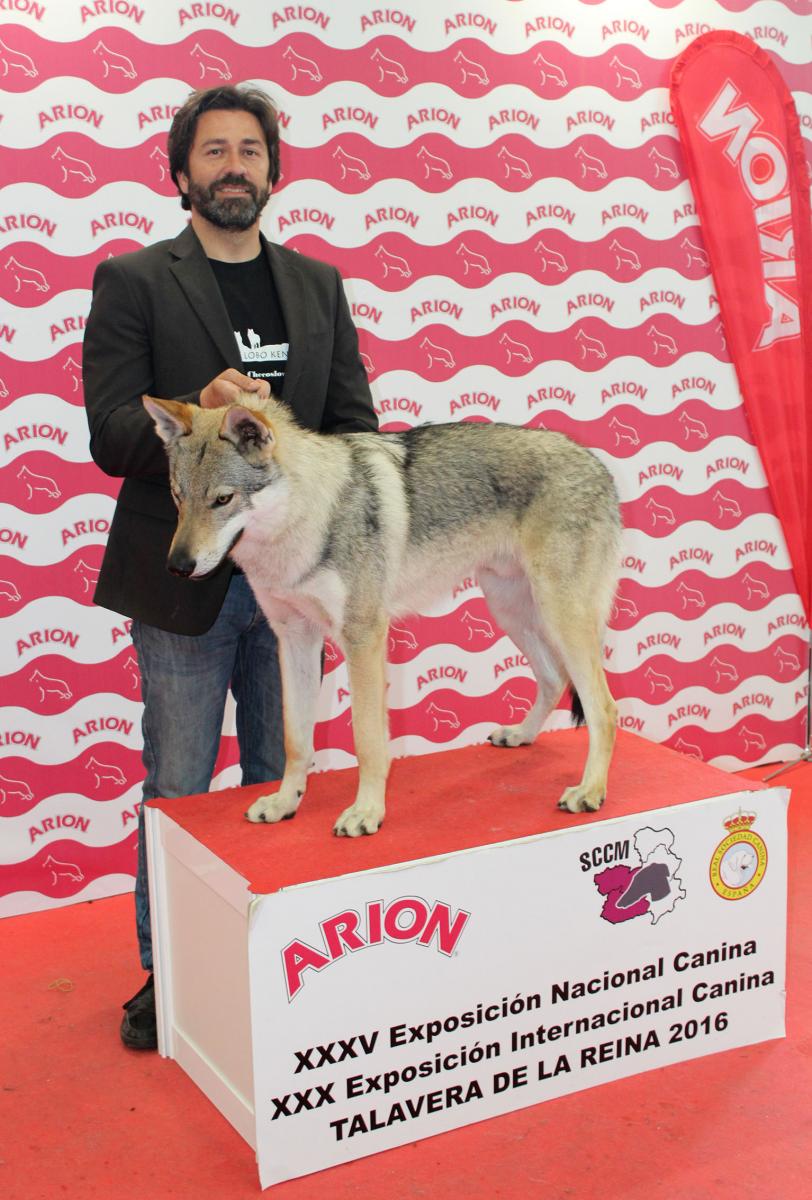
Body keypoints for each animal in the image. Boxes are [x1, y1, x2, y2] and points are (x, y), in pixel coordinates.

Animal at [143, 393, 618, 835]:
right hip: (510, 608)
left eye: (223, 499)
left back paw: (590, 791)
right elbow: (296, 740)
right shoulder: (294, 639)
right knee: (554, 678)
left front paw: (366, 813)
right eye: (178, 497)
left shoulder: (363, 636)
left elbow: (368, 740)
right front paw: (284, 802)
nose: (177, 566)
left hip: (560, 614)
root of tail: (598, 464)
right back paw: (521, 736)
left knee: (605, 708)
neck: (306, 522)